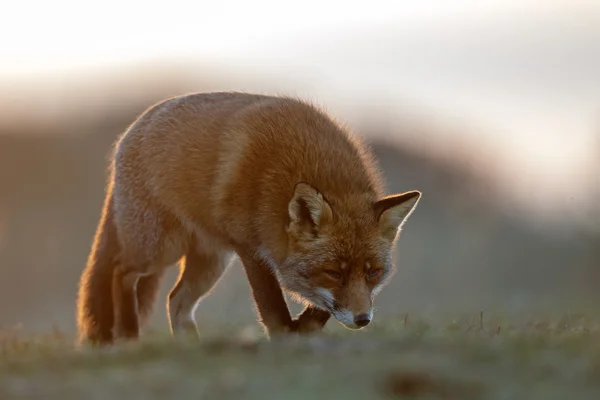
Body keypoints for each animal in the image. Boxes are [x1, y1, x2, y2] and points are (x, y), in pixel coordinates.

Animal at [76, 90, 422, 344]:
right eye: (333, 273)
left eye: (373, 273)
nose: (363, 320)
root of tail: (130, 131)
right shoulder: (251, 248)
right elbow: (272, 307)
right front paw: (286, 338)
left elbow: (320, 307)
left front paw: (304, 327)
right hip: (160, 249)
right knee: (122, 272)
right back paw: (128, 335)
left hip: (211, 263)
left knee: (176, 301)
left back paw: (191, 346)